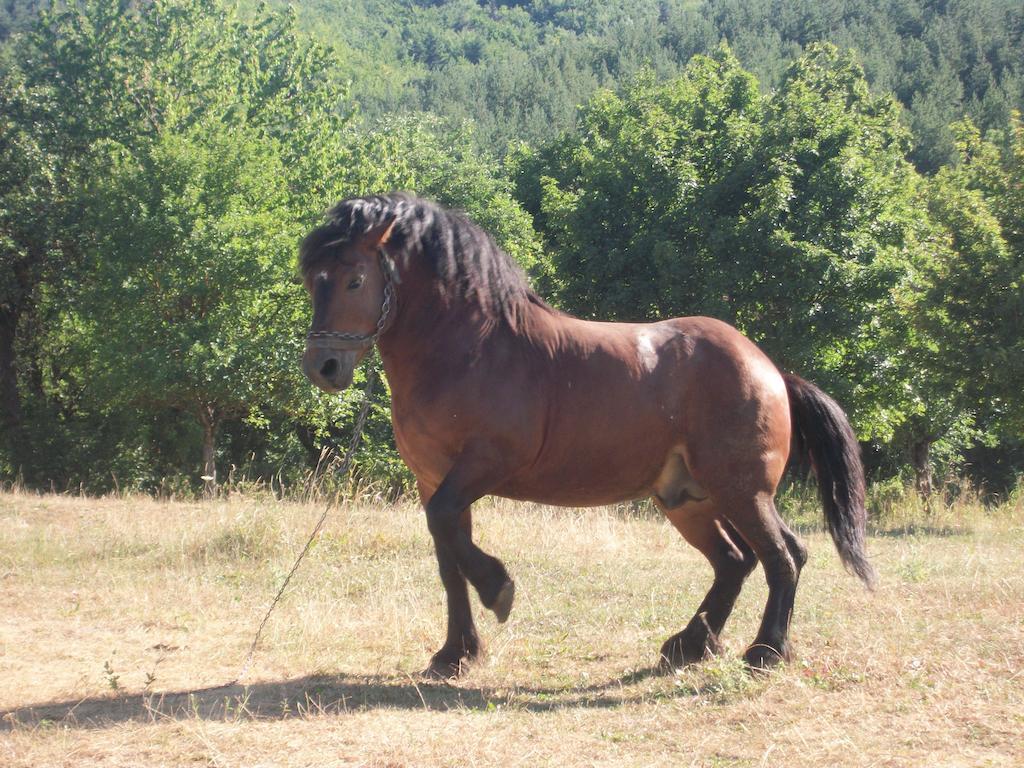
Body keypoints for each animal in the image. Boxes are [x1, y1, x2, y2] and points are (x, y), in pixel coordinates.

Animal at [299, 193, 876, 679]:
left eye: (354, 280)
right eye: (312, 281)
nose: (323, 368)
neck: (471, 347)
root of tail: (772, 370)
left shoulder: (484, 465)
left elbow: (450, 536)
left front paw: (499, 589)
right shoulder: (434, 478)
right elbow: (448, 559)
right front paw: (455, 653)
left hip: (742, 490)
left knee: (783, 556)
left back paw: (765, 651)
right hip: (689, 499)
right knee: (736, 561)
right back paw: (690, 645)